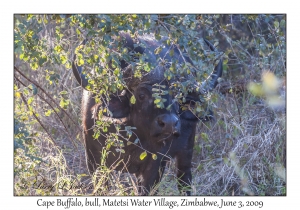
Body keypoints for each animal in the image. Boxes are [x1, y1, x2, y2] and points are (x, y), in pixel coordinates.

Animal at [72, 32, 223, 195]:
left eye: (178, 96)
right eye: (141, 95)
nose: (169, 123)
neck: (130, 136)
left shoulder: (155, 165)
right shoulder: (94, 161)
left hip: (186, 152)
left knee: (185, 179)